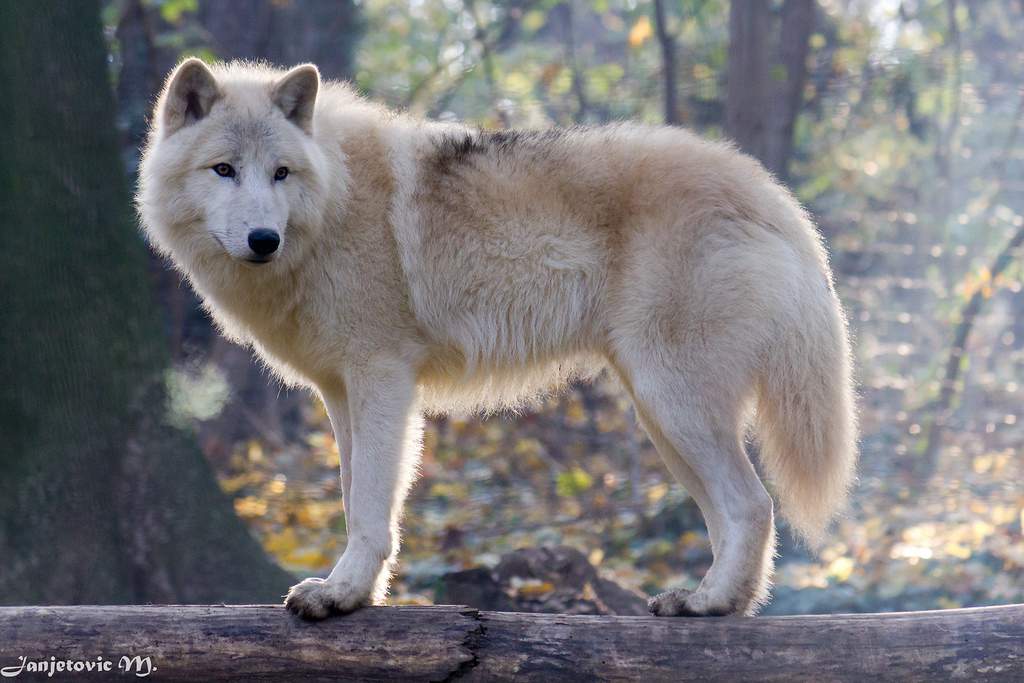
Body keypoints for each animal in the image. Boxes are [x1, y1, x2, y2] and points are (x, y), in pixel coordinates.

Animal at [136, 58, 856, 618]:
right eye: (224, 169)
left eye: (280, 173)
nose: (264, 239)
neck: (335, 199)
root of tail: (768, 190)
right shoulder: (340, 393)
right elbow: (350, 496)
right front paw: (358, 593)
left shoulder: (383, 380)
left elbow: (369, 507)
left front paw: (342, 595)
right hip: (662, 416)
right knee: (735, 513)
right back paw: (717, 603)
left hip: (674, 404)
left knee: (753, 505)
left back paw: (710, 603)